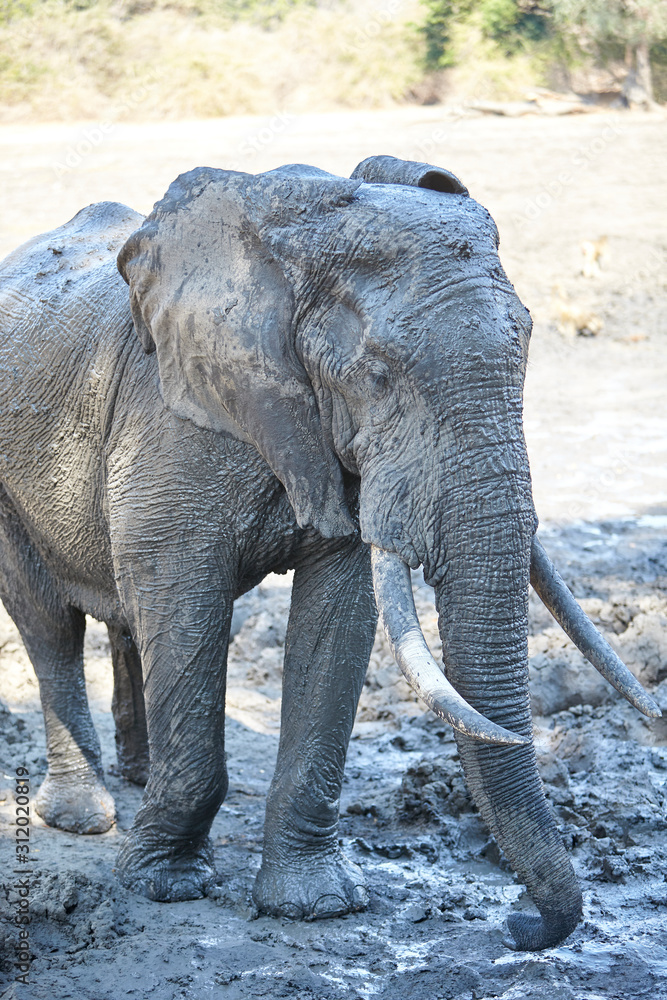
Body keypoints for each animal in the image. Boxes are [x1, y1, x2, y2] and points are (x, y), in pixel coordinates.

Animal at [0, 155, 659, 951]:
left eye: (526, 351)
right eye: (377, 375)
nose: (518, 925)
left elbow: (338, 617)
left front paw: (314, 905)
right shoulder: (173, 422)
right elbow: (184, 602)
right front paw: (165, 885)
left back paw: (135, 781)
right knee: (49, 624)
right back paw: (84, 818)